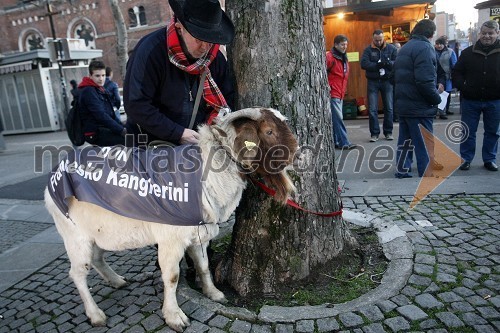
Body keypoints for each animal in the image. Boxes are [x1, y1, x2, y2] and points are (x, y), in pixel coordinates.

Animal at [44, 107, 296, 330]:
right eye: (269, 131)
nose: (298, 152)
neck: (208, 171)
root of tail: (52, 181)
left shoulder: (198, 232)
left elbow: (204, 265)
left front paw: (214, 293)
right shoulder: (171, 239)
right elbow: (172, 276)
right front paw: (175, 317)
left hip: (98, 232)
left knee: (96, 258)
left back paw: (117, 281)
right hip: (75, 236)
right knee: (77, 273)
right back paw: (96, 315)